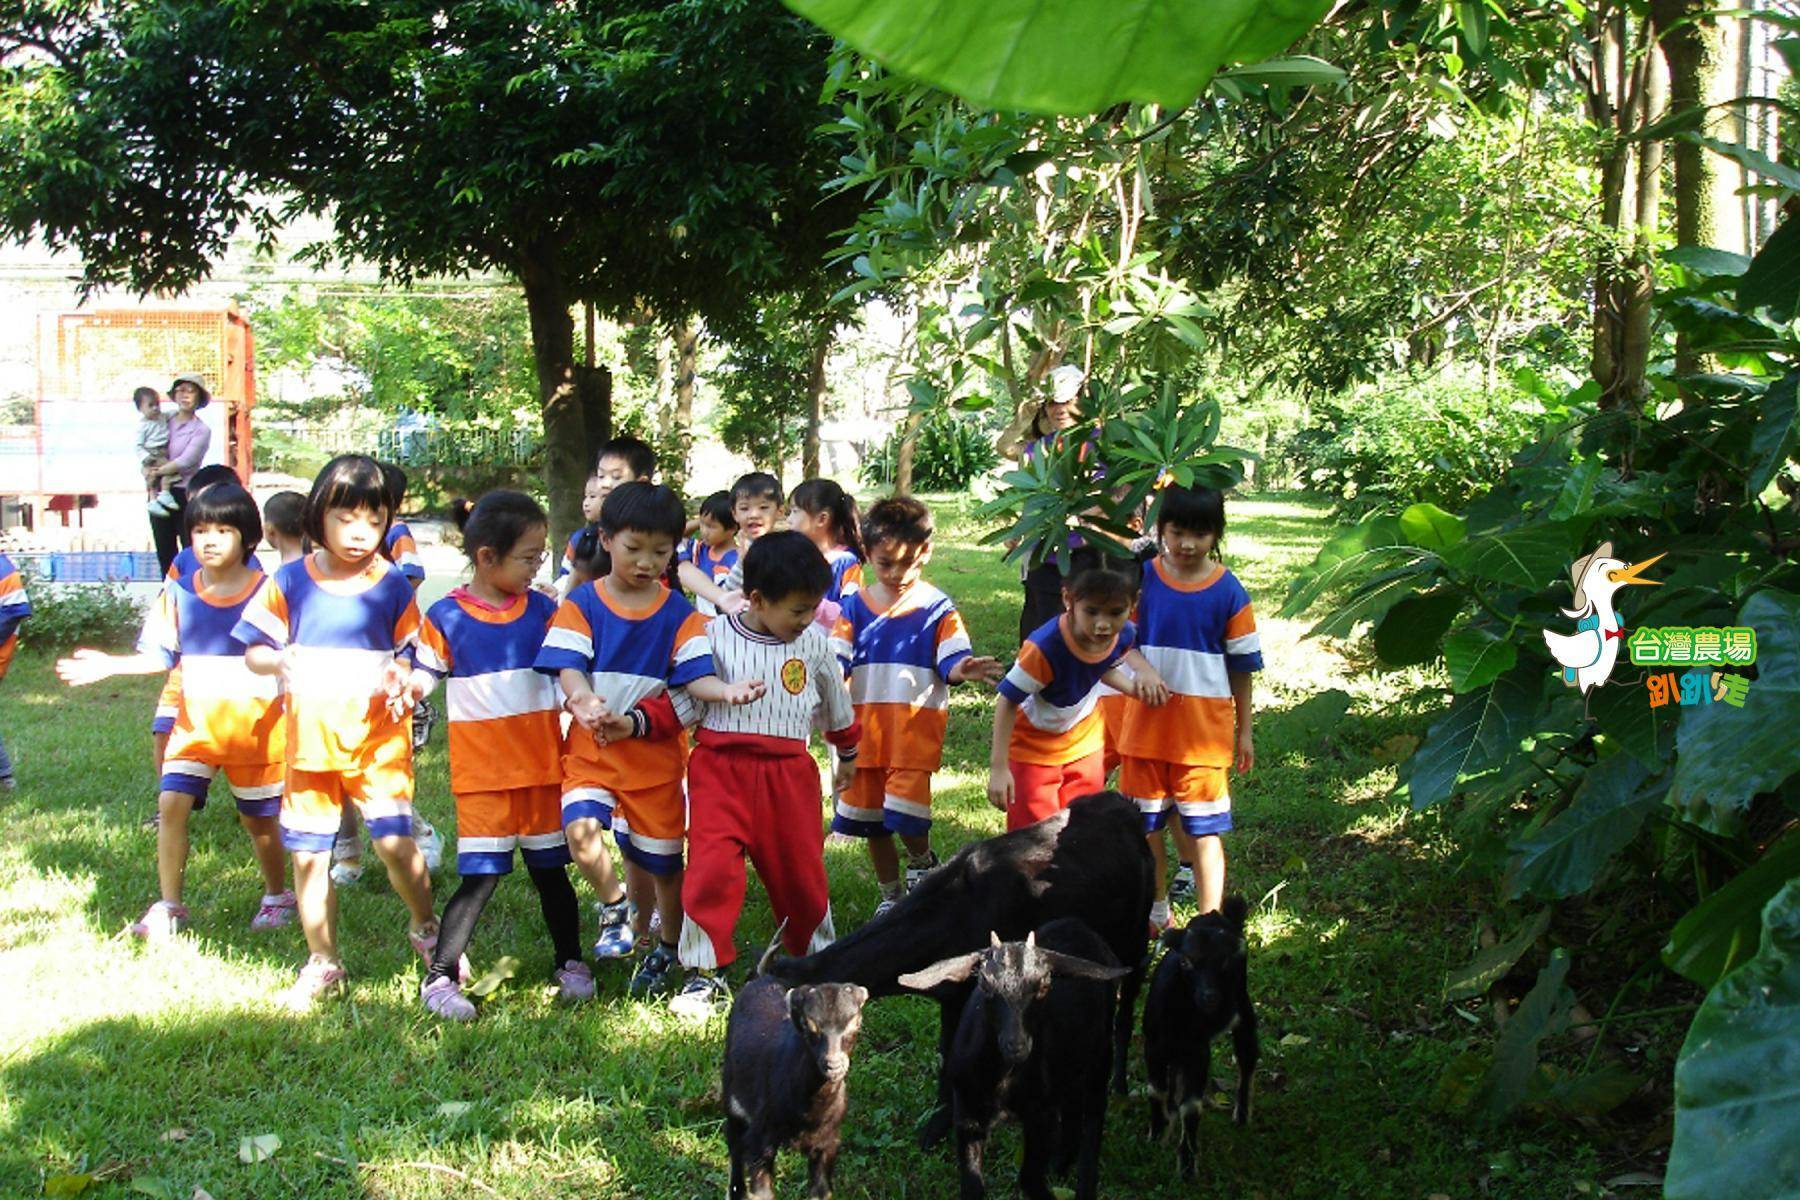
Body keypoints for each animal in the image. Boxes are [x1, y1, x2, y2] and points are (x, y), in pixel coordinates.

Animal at [727, 935, 874, 1200]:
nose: (833, 1064)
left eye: (855, 1025)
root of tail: (760, 977)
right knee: (733, 1146)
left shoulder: (827, 1144)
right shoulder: (760, 1141)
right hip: (733, 1101)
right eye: (808, 1026)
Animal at [770, 788, 1152, 1144]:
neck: (958, 909)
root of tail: (1123, 805)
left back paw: (1120, 1085)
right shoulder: (951, 998)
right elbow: (945, 1053)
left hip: (1135, 939)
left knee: (1127, 1007)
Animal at [900, 921, 1123, 1200]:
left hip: (1101, 1051)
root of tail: (1075, 925)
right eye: (984, 984)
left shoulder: (1042, 1116)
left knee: (1094, 1114)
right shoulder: (966, 1114)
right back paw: (1062, 1163)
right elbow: (972, 1184)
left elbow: (1029, 1177)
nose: (1016, 1045)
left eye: (1044, 985)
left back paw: (1084, 1184)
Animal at [1144, 895, 1260, 1180]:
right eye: (1186, 961)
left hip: (1243, 1011)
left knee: (1247, 1059)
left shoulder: (1198, 1054)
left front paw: (1187, 1165)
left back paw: (1242, 1115)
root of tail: (1218, 915)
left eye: (1225, 962)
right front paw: (1157, 1133)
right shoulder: (1154, 1048)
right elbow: (1156, 1091)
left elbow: (1192, 1108)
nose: (1210, 997)